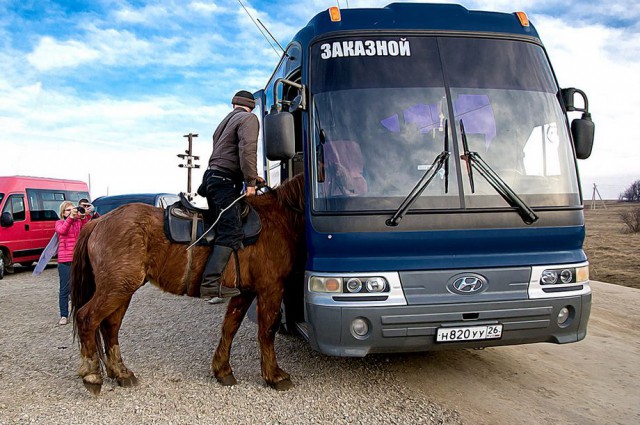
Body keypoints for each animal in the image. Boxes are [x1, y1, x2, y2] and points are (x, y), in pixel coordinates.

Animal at [71, 174, 306, 392]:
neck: (276, 217)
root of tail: (98, 221)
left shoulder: (244, 292)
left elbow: (230, 326)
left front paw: (222, 370)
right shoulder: (271, 288)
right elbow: (267, 329)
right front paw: (274, 375)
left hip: (122, 290)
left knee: (111, 326)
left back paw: (121, 372)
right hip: (117, 288)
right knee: (87, 319)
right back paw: (92, 375)